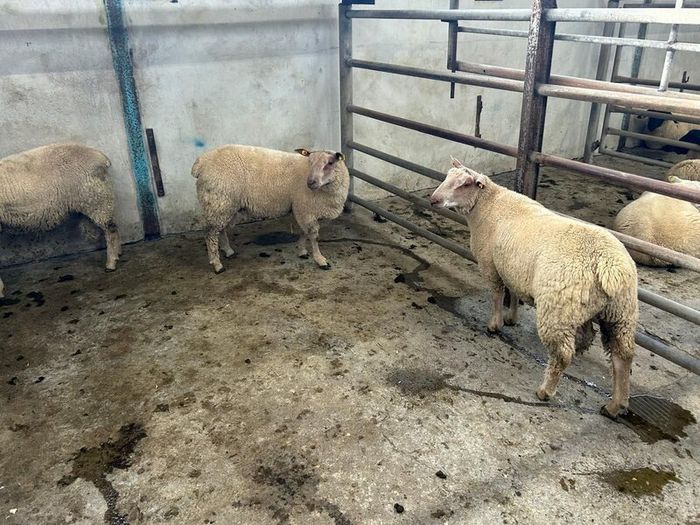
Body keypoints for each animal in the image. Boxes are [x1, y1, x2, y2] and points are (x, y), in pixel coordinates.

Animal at [0, 143, 121, 298]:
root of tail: (101, 157)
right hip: (97, 199)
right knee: (113, 226)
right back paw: (118, 253)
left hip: (96, 199)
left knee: (110, 230)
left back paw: (111, 263)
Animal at [192, 145, 349, 273]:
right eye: (310, 162)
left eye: (330, 163)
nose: (310, 183)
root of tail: (201, 162)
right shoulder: (306, 209)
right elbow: (314, 236)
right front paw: (320, 260)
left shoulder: (303, 210)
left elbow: (305, 232)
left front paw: (302, 250)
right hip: (218, 201)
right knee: (210, 234)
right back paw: (217, 264)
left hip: (225, 204)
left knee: (221, 229)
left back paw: (228, 251)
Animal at [430, 159, 638, 418]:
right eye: (447, 178)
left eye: (464, 184)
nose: (433, 199)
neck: (487, 206)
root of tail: (609, 264)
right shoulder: (513, 268)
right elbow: (513, 293)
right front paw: (511, 318)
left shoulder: (490, 264)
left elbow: (497, 295)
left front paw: (495, 324)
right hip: (618, 313)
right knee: (622, 356)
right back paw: (615, 405)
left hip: (558, 309)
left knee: (562, 354)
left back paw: (546, 390)